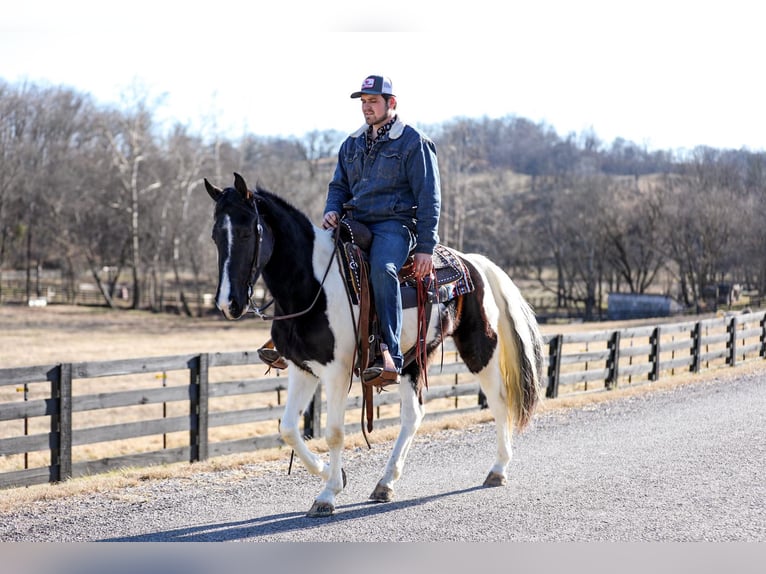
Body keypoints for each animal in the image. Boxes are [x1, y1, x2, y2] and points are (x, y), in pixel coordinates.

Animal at [206, 173, 544, 520]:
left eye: (247, 232)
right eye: (216, 236)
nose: (228, 303)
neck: (312, 286)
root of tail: (473, 262)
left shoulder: (337, 373)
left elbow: (334, 432)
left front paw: (327, 494)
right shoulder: (302, 369)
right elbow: (288, 428)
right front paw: (331, 473)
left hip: (479, 348)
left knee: (499, 401)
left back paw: (498, 470)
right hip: (411, 361)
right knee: (413, 415)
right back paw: (385, 482)